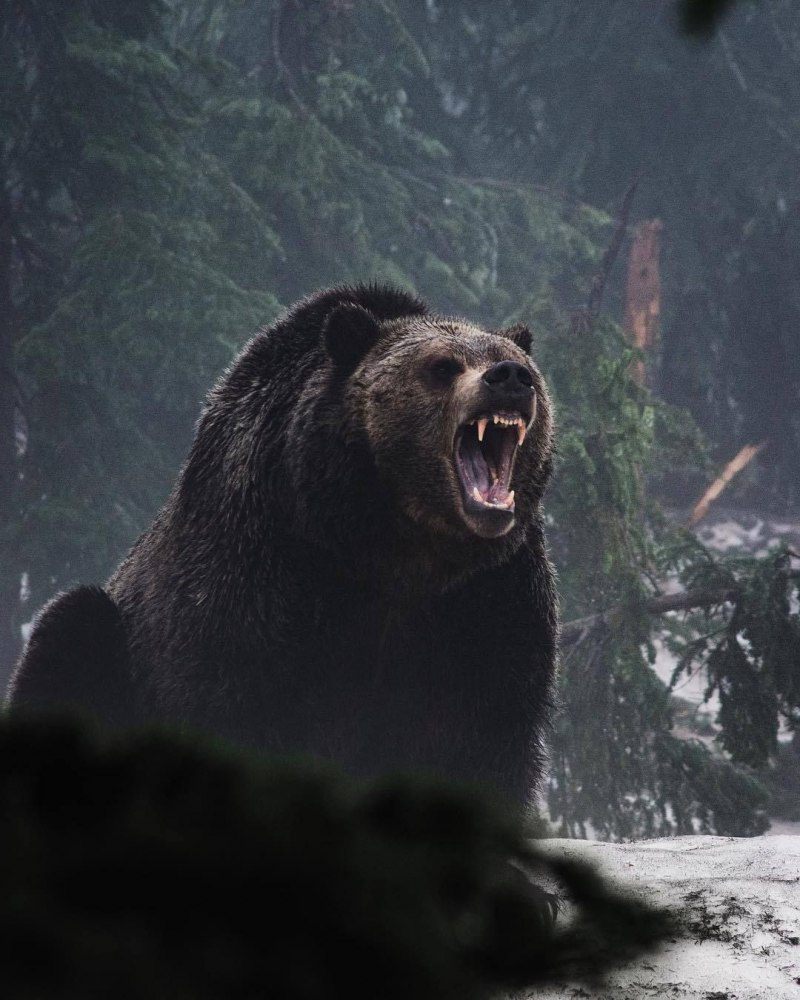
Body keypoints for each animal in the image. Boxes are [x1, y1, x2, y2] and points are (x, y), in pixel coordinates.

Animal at [8, 284, 557, 807]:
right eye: (442, 366)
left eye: (515, 360)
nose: (510, 376)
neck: (395, 546)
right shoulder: (261, 569)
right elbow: (239, 704)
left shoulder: (489, 598)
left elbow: (484, 733)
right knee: (69, 628)